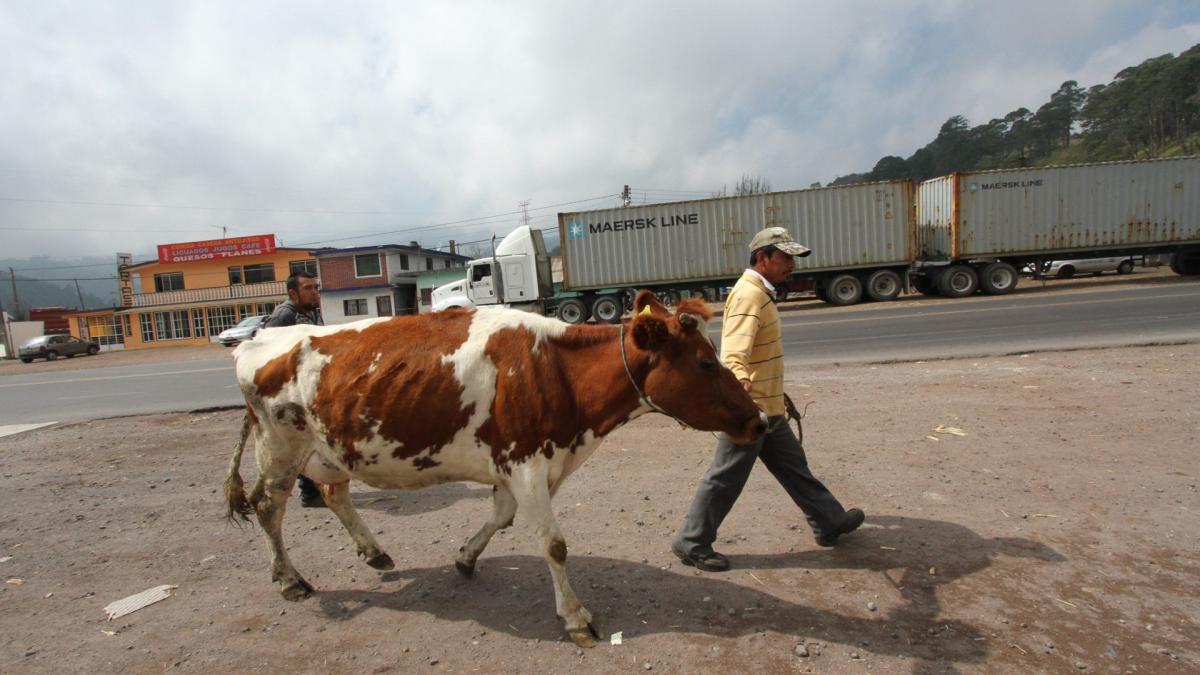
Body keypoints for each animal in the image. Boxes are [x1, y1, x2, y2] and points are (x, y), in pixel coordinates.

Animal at [224, 288, 763, 638]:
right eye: (706, 362)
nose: (759, 421)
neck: (558, 371)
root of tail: (258, 339)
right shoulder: (526, 462)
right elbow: (554, 545)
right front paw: (576, 617)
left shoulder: (523, 464)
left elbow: (501, 519)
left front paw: (466, 558)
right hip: (280, 446)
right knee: (269, 507)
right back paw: (290, 580)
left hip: (331, 448)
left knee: (335, 493)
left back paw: (375, 553)